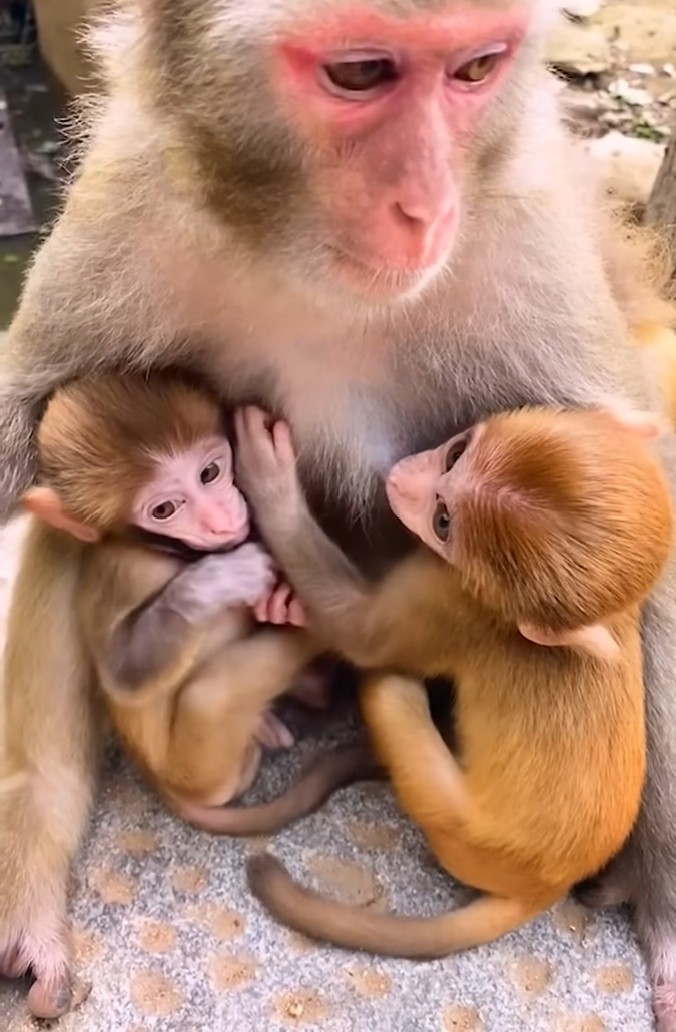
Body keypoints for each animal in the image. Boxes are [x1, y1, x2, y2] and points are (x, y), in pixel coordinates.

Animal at [231, 402, 672, 957]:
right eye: (456, 451)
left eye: (443, 522)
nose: (400, 478)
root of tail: (547, 888)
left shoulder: (449, 597)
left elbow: (361, 634)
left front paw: (272, 486)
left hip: (455, 827)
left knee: (391, 688)